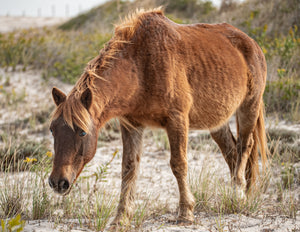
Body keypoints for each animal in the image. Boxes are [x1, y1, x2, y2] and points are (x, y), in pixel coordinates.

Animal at [48, 8, 268, 226]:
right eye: (52, 130)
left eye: (82, 133)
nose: (58, 182)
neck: (140, 66)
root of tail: (251, 43)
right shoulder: (132, 126)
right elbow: (129, 169)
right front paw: (121, 217)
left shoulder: (177, 120)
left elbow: (178, 164)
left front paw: (185, 212)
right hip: (216, 121)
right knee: (231, 152)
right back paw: (239, 194)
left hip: (249, 107)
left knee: (245, 146)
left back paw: (238, 193)